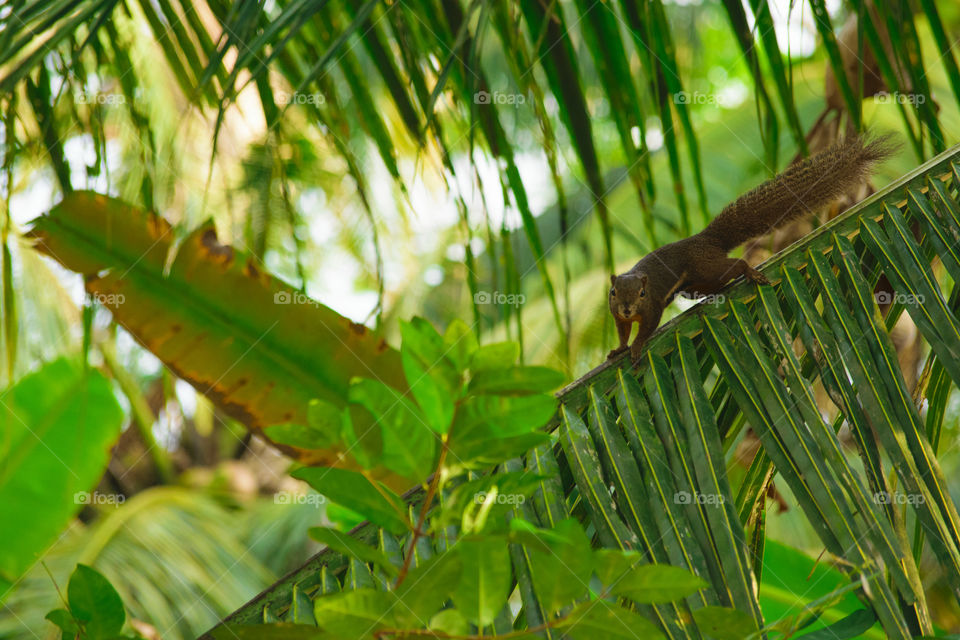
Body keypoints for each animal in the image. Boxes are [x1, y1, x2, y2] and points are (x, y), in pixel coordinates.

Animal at [608, 134, 896, 361]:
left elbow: (647, 328)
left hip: (706, 266)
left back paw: (749, 271)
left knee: (733, 266)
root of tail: (706, 238)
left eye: (642, 294)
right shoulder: (617, 316)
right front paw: (619, 349)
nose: (627, 308)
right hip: (693, 284)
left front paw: (636, 346)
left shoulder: (652, 306)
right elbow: (621, 331)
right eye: (613, 293)